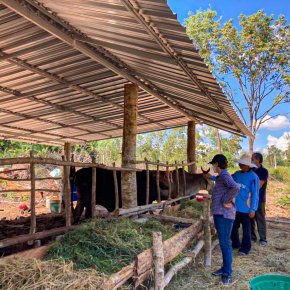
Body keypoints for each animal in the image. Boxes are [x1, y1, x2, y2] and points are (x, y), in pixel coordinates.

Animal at [72, 165, 212, 222]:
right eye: (210, 179)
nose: (212, 188)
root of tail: (78, 173)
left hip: (81, 199)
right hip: (87, 200)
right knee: (84, 213)